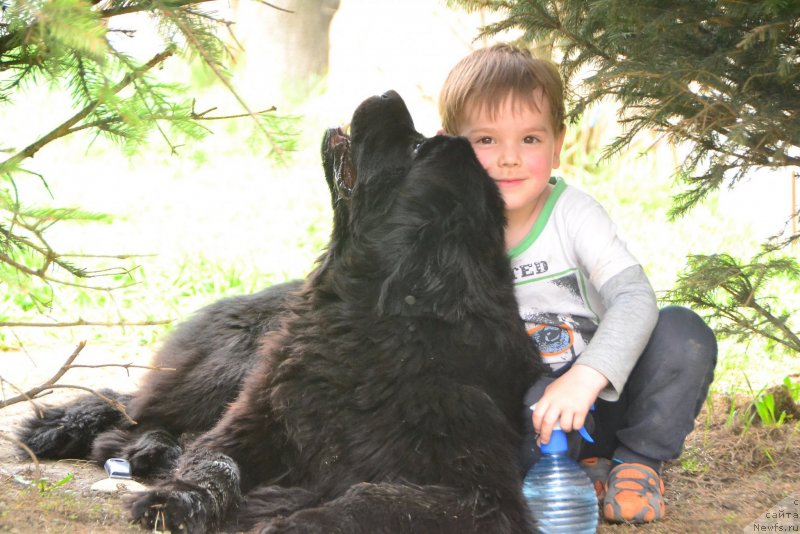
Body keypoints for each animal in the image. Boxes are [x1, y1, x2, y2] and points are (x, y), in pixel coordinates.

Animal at [18, 91, 544, 532]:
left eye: (416, 148)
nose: (388, 94)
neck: (372, 316)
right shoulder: (253, 421)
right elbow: (216, 461)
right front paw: (178, 499)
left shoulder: (485, 496)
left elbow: (377, 498)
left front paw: (298, 521)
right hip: (228, 369)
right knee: (133, 407)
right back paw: (92, 436)